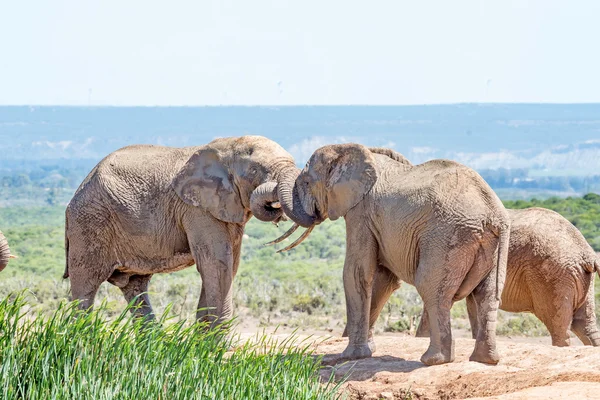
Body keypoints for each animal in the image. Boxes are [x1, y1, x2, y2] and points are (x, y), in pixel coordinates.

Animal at [65, 136, 300, 326]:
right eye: (254, 171)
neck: (230, 144)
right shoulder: (196, 209)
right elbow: (216, 265)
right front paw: (214, 349)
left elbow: (228, 267)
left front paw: (202, 345)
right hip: (88, 224)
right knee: (85, 286)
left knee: (135, 286)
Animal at [270, 144, 508, 366]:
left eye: (306, 182)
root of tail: (492, 213)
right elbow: (383, 279)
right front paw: (367, 351)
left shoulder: (360, 212)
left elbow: (356, 272)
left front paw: (350, 356)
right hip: (491, 246)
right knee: (487, 295)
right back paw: (485, 360)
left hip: (446, 237)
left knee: (432, 289)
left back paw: (433, 360)